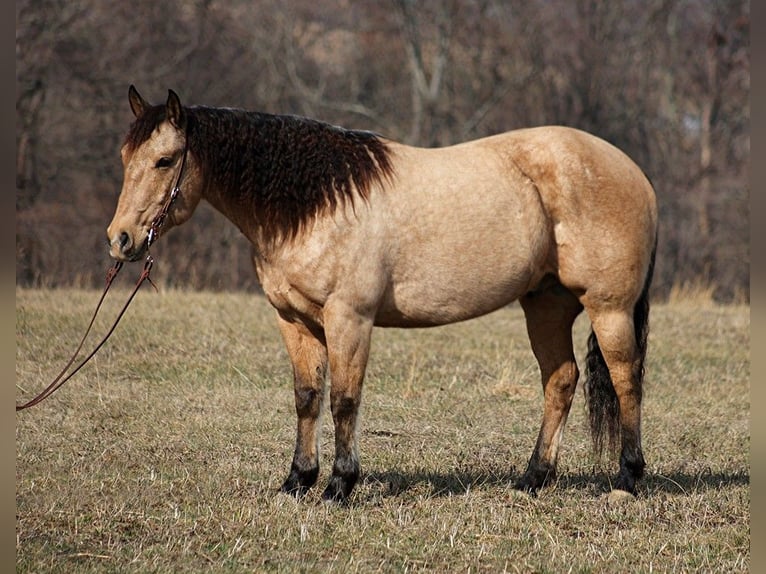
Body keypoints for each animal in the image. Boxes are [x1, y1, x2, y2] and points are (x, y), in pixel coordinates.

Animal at [108, 85, 660, 504]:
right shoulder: (295, 320)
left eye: (164, 160)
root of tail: (636, 174)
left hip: (608, 309)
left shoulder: (348, 318)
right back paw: (532, 479)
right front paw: (297, 482)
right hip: (545, 305)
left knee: (625, 380)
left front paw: (339, 486)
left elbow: (344, 400)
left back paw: (627, 479)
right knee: (561, 381)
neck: (317, 202)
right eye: (125, 157)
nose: (121, 240)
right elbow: (307, 398)